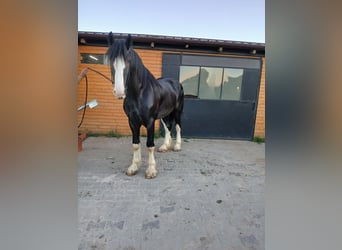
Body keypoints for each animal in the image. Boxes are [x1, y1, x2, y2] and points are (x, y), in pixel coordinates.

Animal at [105, 32, 184, 179]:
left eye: (128, 60)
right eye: (111, 61)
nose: (119, 92)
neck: (139, 94)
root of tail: (176, 83)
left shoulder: (150, 121)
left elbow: (149, 144)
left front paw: (151, 170)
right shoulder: (132, 121)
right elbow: (136, 144)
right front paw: (134, 166)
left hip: (177, 111)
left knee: (177, 127)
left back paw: (177, 146)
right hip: (164, 114)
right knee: (167, 127)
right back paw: (165, 147)